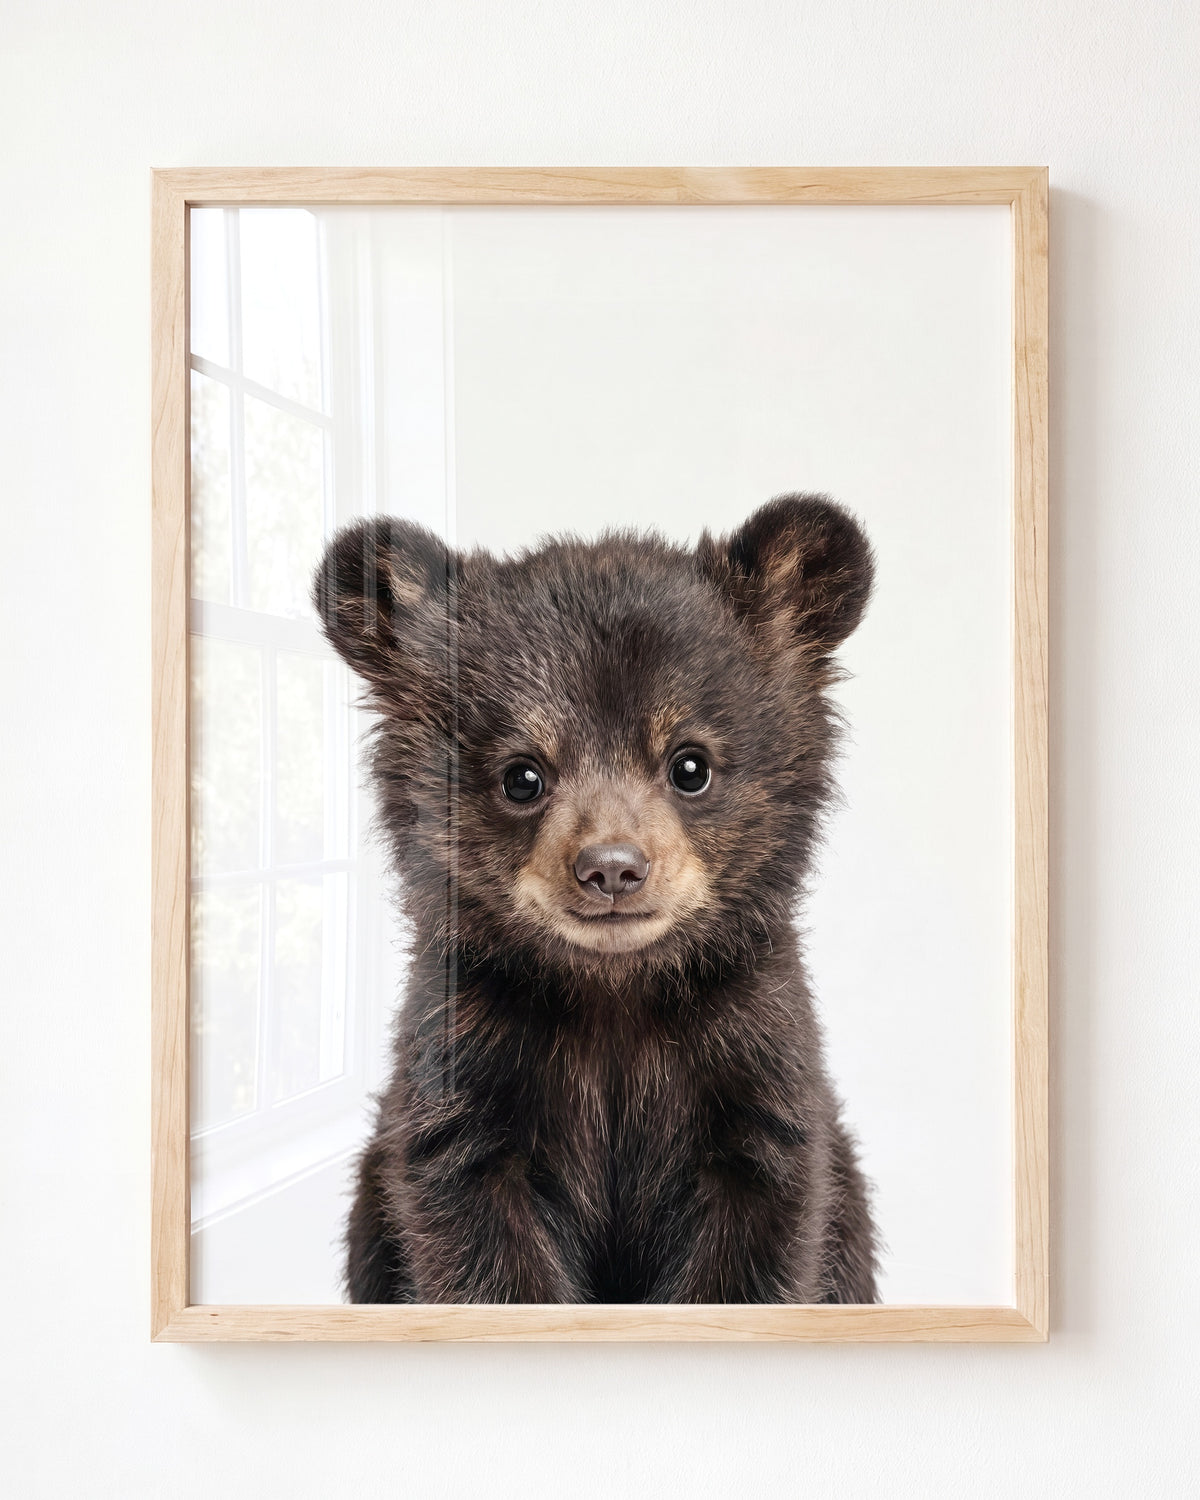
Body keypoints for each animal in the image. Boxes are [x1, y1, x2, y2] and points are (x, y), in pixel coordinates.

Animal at [313, 493, 880, 1304]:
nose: (611, 869)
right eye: (522, 775)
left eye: (690, 765)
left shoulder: (754, 1066)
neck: (613, 996)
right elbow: (479, 1246)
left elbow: (756, 1245)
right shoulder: (463, 1073)